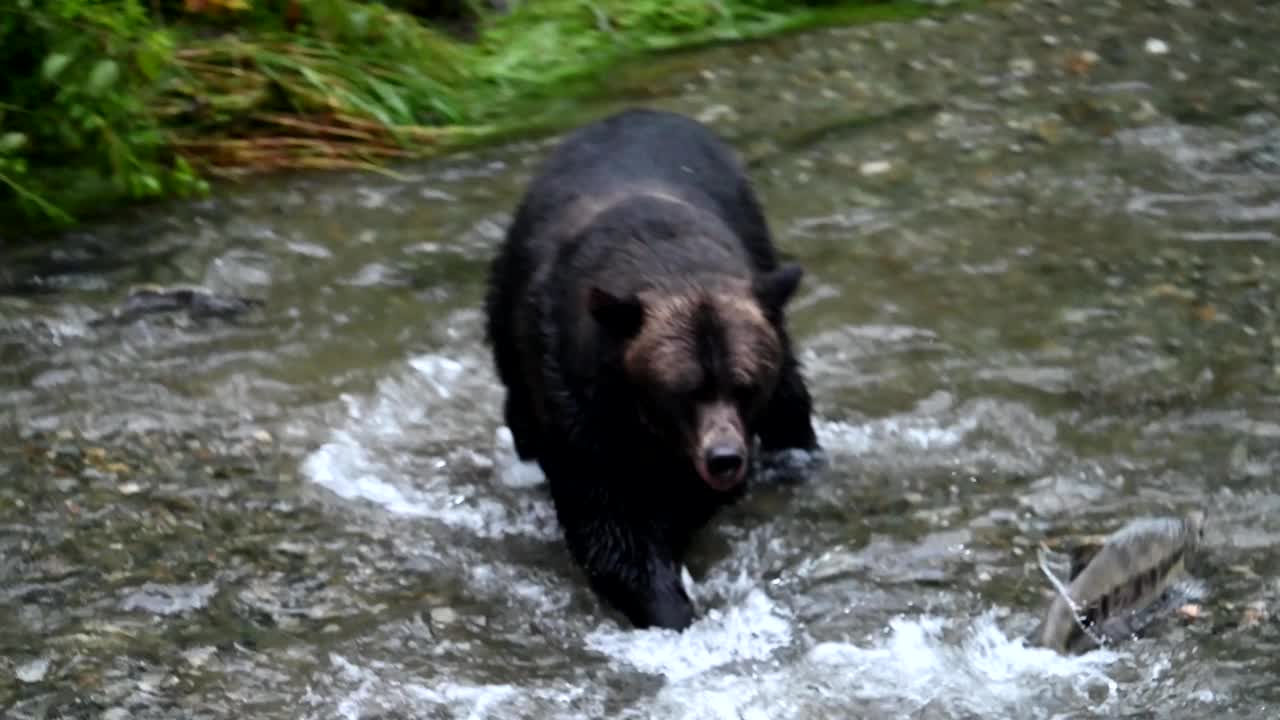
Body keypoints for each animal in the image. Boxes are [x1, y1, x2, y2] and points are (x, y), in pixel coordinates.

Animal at [481, 106, 819, 627]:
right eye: (683, 389)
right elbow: (610, 525)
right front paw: (667, 605)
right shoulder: (579, 405)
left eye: (744, 385)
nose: (724, 458)